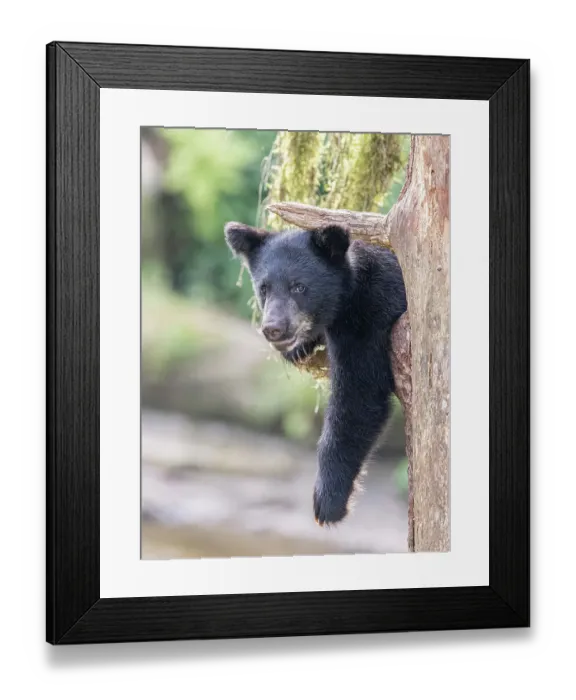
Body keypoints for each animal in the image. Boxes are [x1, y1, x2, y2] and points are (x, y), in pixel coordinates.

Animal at [224, 221, 407, 526]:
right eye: (264, 288)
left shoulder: (370, 315)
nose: (273, 328)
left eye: (299, 286)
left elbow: (359, 396)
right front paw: (298, 348)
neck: (348, 295)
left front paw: (328, 501)